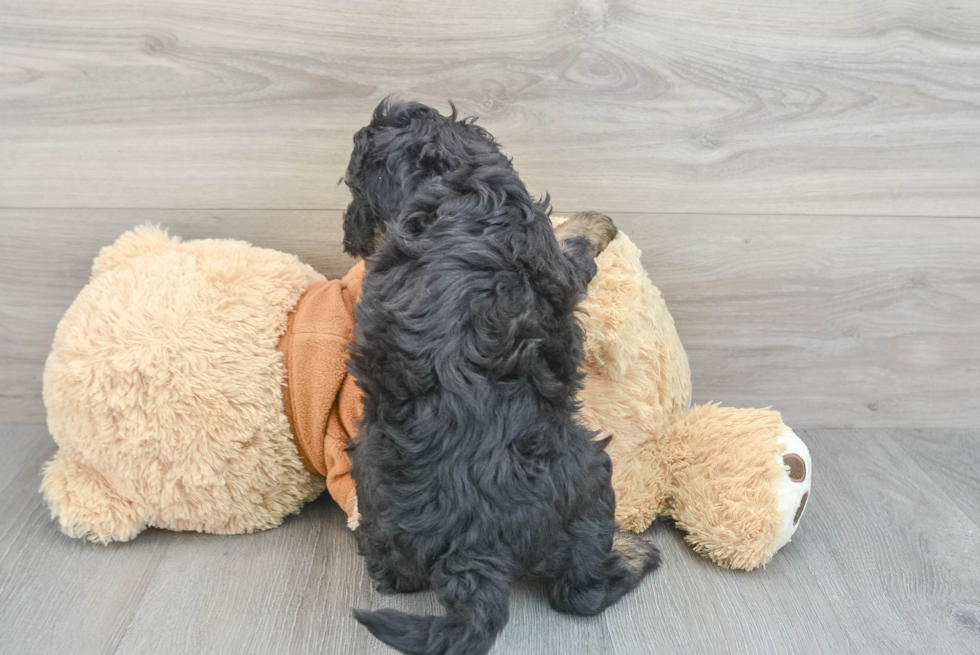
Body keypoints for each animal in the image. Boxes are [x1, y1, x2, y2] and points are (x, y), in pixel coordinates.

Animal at [344, 101, 660, 655]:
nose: (349, 237)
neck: (445, 185)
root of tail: (474, 550)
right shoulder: (555, 260)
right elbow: (575, 246)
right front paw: (596, 222)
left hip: (370, 472)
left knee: (395, 572)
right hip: (590, 476)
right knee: (578, 593)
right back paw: (633, 554)